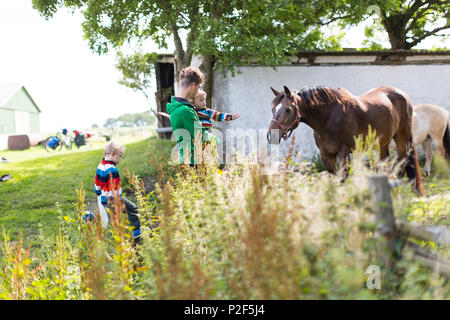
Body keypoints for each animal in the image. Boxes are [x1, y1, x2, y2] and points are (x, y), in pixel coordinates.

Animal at [268, 85, 424, 196]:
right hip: (383, 142)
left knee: (402, 162)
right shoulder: (327, 156)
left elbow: (342, 180)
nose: (271, 136)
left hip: (401, 138)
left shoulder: (344, 154)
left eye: (288, 110)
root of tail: (402, 94)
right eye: (272, 109)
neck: (329, 117)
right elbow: (335, 179)